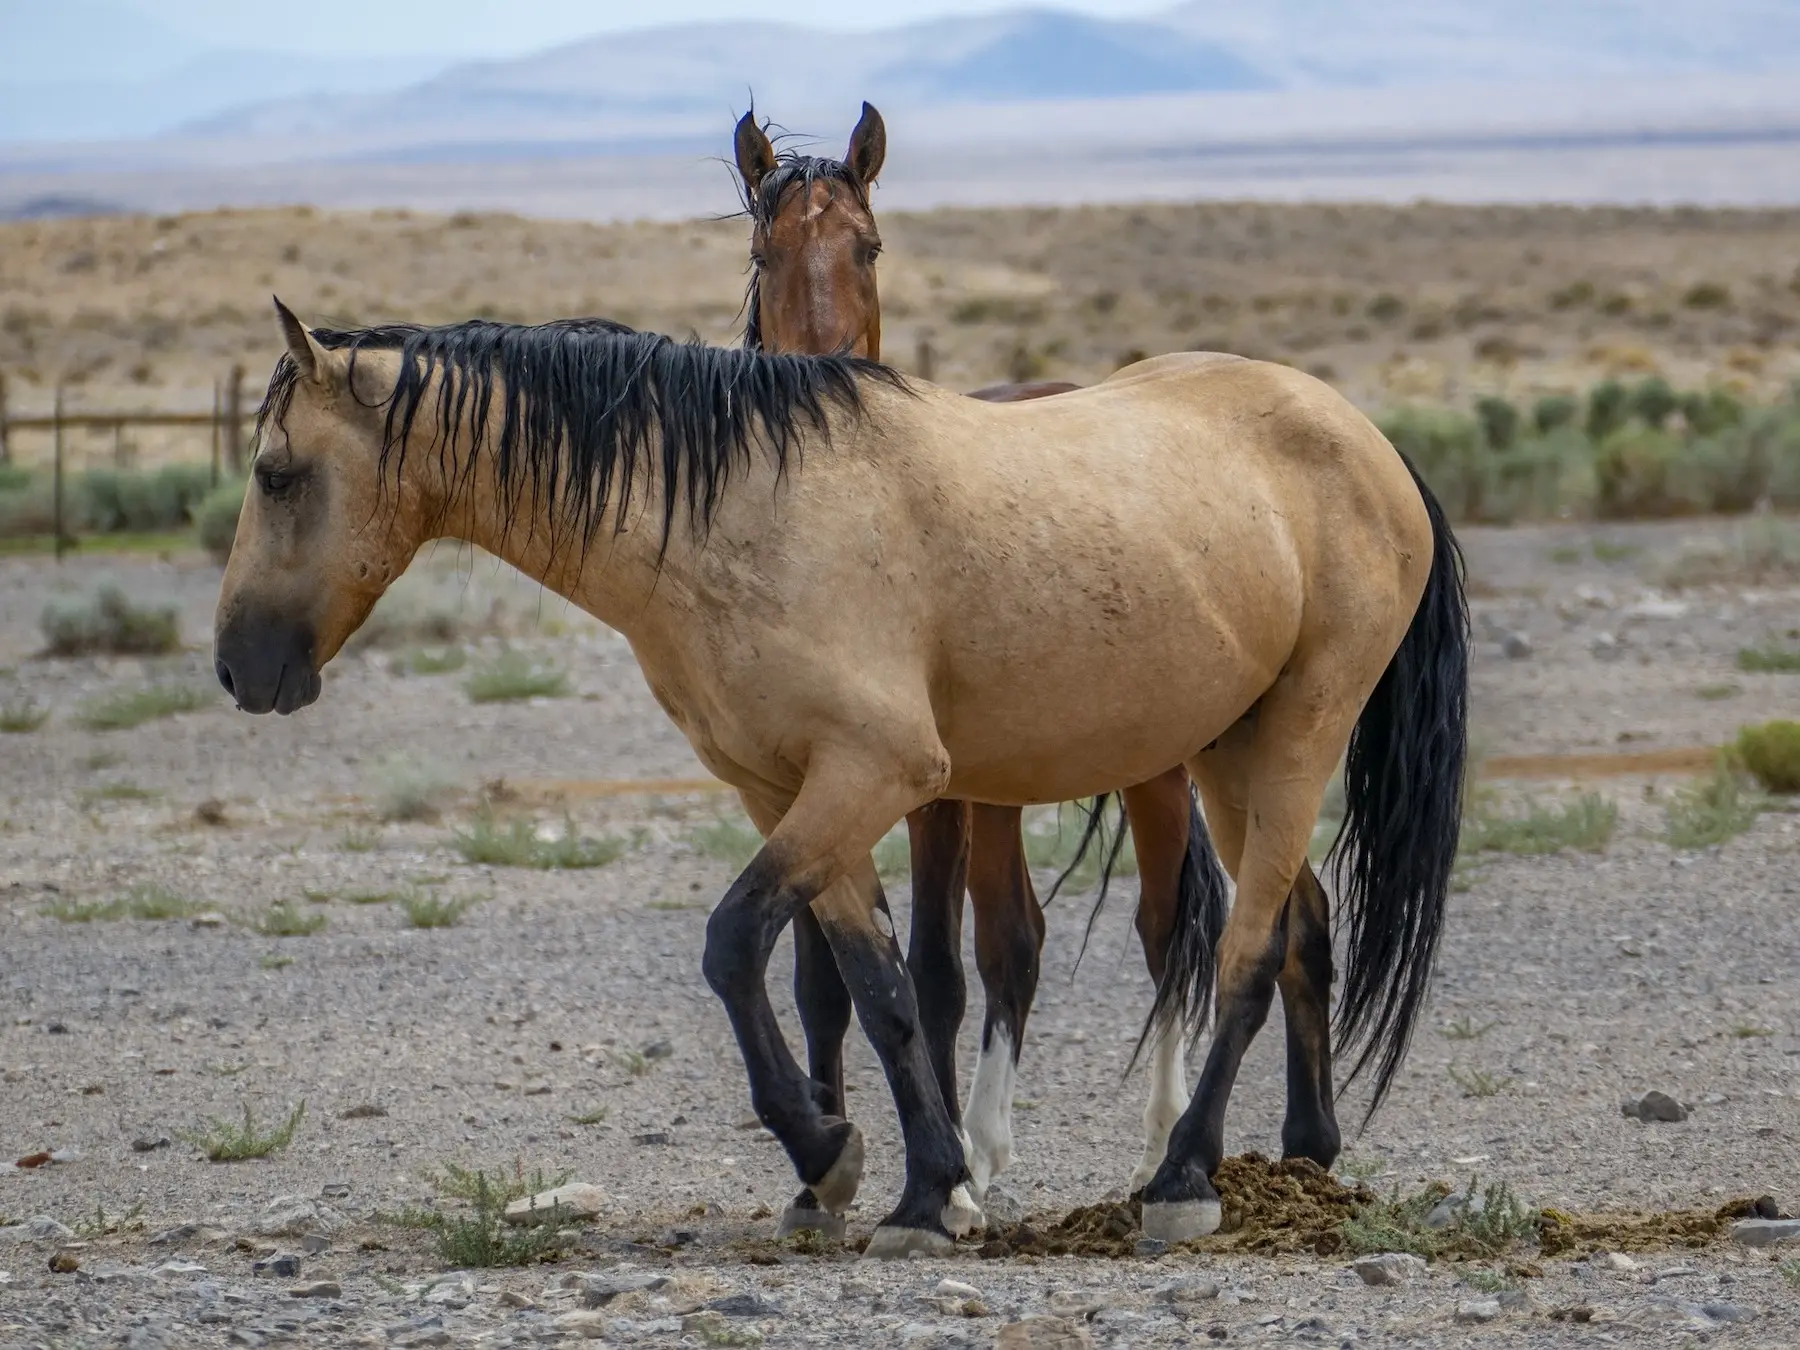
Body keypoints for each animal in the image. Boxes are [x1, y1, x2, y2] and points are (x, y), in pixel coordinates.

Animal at [217, 295, 1468, 1260]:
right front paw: (924, 1193)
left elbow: (735, 945)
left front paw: (827, 1154)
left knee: (1247, 949)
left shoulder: (874, 775)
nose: (236, 668)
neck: (733, 516)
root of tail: (1368, 442)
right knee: (1304, 925)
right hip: (1226, 750)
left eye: (276, 475)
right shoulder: (789, 794)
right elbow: (880, 989)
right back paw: (1304, 1159)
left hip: (1299, 732)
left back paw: (1183, 1184)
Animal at [730, 105, 1360, 1224]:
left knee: (1162, 928)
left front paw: (942, 1185)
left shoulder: (929, 797)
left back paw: (1157, 1145)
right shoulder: (803, 781)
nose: (829, 379)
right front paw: (825, 1181)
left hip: (1155, 768)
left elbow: (937, 972)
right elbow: (825, 976)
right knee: (1040, 936)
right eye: (767, 253)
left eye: (870, 247)